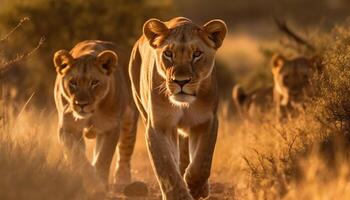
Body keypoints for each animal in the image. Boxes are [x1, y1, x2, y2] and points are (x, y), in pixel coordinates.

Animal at [53, 39, 138, 195]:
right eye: (73, 82)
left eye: (94, 83)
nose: (81, 104)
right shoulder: (68, 129)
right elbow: (77, 157)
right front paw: (89, 181)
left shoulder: (110, 128)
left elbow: (103, 159)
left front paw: (99, 185)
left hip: (130, 120)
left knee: (125, 151)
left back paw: (123, 180)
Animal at [129, 17, 227, 200]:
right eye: (168, 54)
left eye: (197, 54)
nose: (181, 81)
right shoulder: (158, 126)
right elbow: (166, 166)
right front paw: (179, 194)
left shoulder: (207, 122)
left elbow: (202, 161)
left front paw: (196, 188)